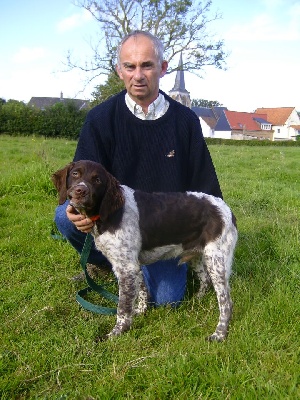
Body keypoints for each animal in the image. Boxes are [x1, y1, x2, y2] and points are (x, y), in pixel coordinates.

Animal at [52, 159, 238, 340]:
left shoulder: (126, 268)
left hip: (217, 261)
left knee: (226, 302)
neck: (110, 213)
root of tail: (227, 210)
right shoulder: (133, 265)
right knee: (205, 279)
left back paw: (219, 334)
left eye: (97, 180)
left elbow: (123, 307)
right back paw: (198, 299)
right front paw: (141, 312)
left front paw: (117, 332)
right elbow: (141, 292)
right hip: (198, 256)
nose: (80, 191)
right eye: (75, 174)